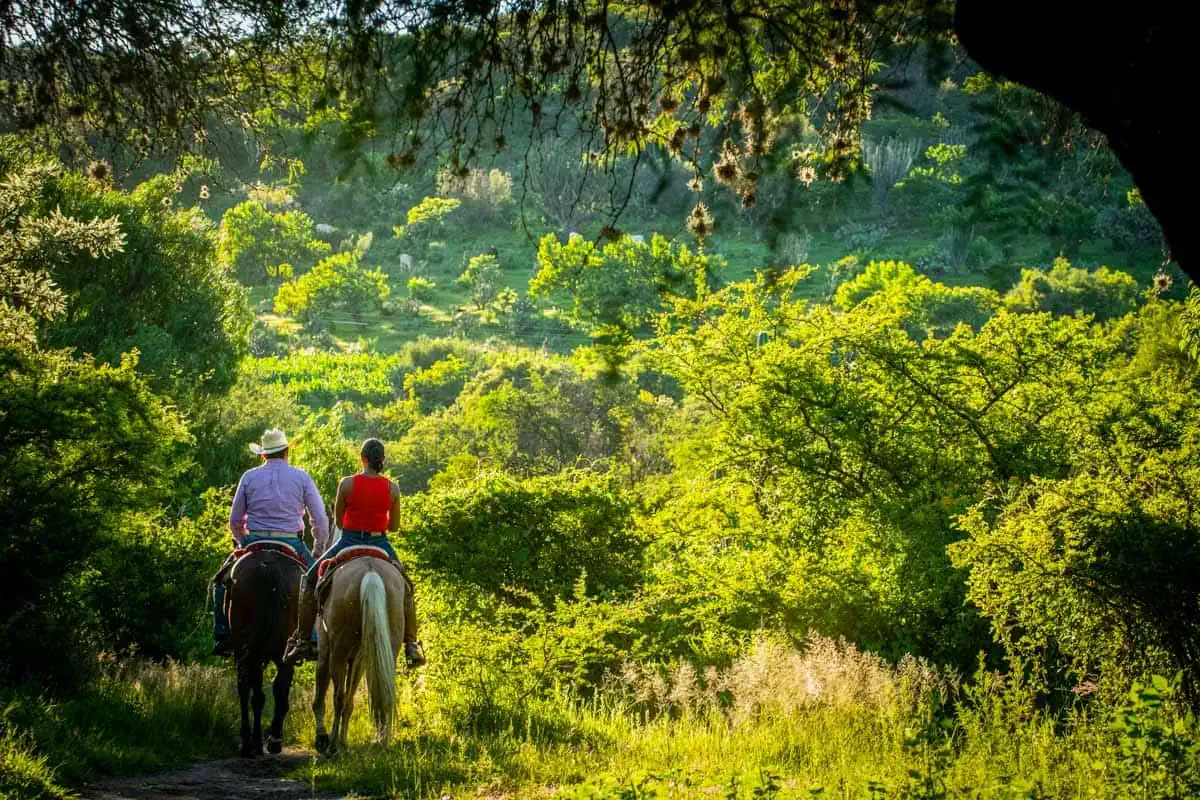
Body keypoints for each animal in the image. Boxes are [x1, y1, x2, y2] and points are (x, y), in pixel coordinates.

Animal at [226, 546, 304, 762]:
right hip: (280, 649)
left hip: (248, 648)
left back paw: (249, 743)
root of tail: (268, 569)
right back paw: (272, 739)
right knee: (279, 687)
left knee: (247, 689)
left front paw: (255, 741)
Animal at [312, 556, 405, 753]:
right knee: (383, 691)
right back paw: (382, 741)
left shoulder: (325, 649)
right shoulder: (359, 659)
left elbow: (323, 691)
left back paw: (332, 743)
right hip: (388, 646)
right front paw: (344, 740)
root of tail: (370, 573)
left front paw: (323, 738)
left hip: (338, 651)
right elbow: (350, 699)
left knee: (338, 697)